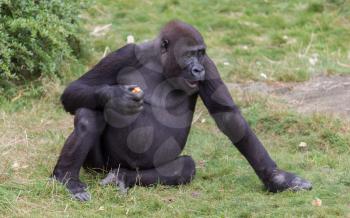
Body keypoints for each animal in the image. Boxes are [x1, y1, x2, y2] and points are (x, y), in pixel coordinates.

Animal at [52, 20, 312, 201]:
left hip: (131, 168)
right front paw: (118, 97)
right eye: (189, 54)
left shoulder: (209, 65)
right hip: (97, 166)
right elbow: (74, 89)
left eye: (201, 53)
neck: (162, 62)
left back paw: (122, 177)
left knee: (186, 167)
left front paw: (277, 178)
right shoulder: (126, 52)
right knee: (89, 113)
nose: (197, 70)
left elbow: (228, 117)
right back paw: (67, 178)